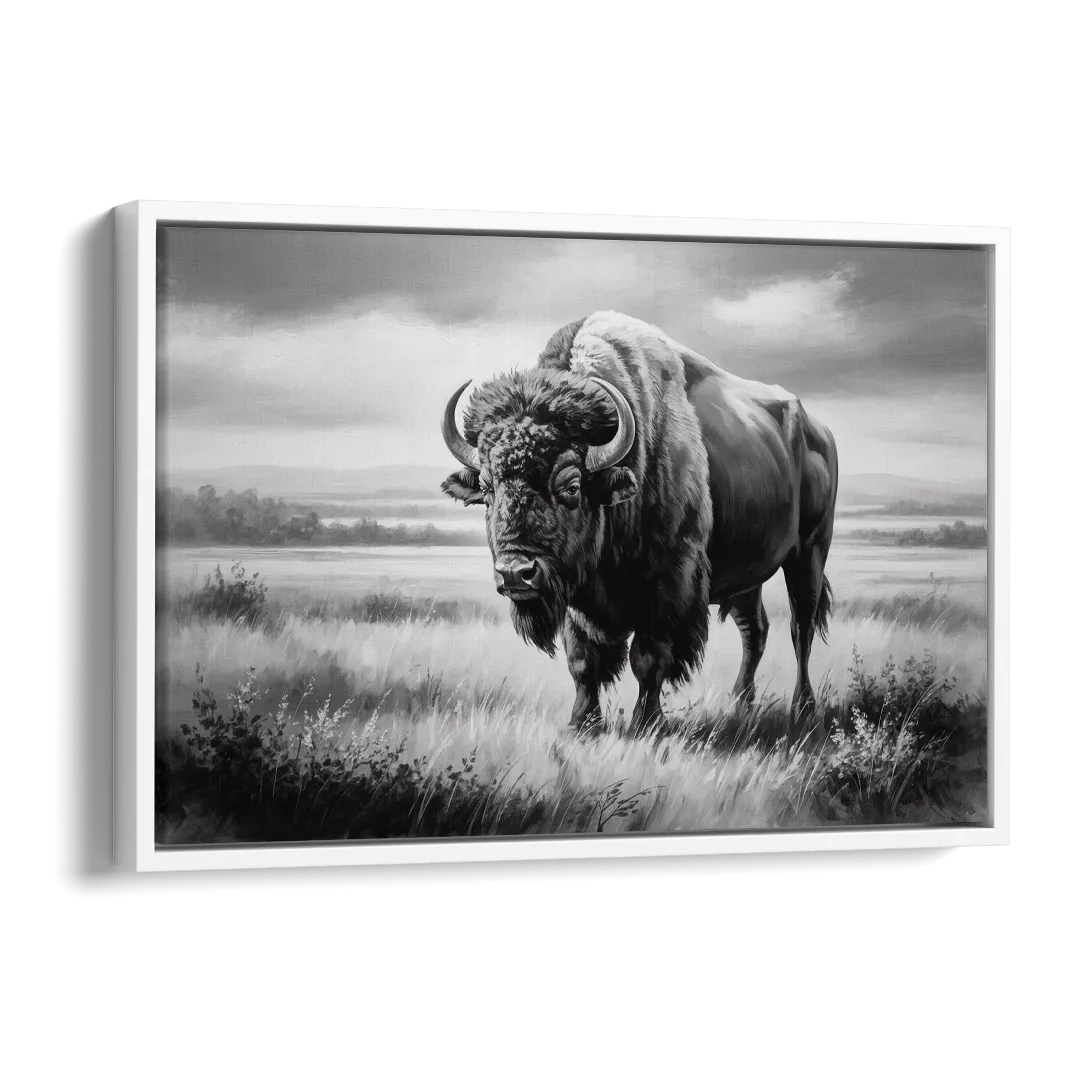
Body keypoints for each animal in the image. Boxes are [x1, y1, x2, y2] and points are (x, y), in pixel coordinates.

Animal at [441, 311, 838, 738]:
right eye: (486, 488)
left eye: (572, 485)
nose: (516, 573)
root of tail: (820, 432)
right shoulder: (577, 596)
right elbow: (582, 660)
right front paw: (582, 724)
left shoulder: (668, 584)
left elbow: (648, 658)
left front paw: (647, 723)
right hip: (749, 575)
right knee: (755, 630)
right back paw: (741, 705)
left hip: (809, 553)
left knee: (801, 626)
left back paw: (803, 708)